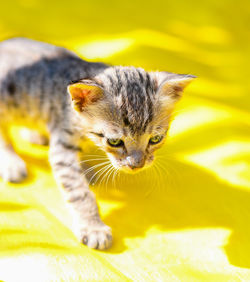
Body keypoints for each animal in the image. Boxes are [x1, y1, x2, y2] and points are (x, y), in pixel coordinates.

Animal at [0, 37, 195, 249]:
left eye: (155, 139)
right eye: (114, 141)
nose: (137, 165)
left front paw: (86, 168)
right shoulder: (62, 144)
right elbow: (79, 190)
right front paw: (93, 227)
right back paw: (10, 162)